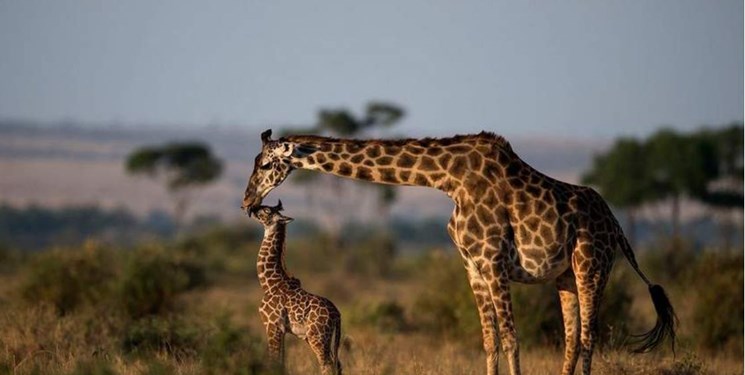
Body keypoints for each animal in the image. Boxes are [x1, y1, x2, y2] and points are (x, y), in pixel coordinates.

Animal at [251, 203, 342, 375]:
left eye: (267, 210)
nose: (252, 209)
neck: (269, 284)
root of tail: (337, 314)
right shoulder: (283, 329)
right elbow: (281, 361)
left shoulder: (272, 324)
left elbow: (274, 360)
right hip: (324, 337)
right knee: (337, 364)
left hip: (317, 337)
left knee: (327, 365)